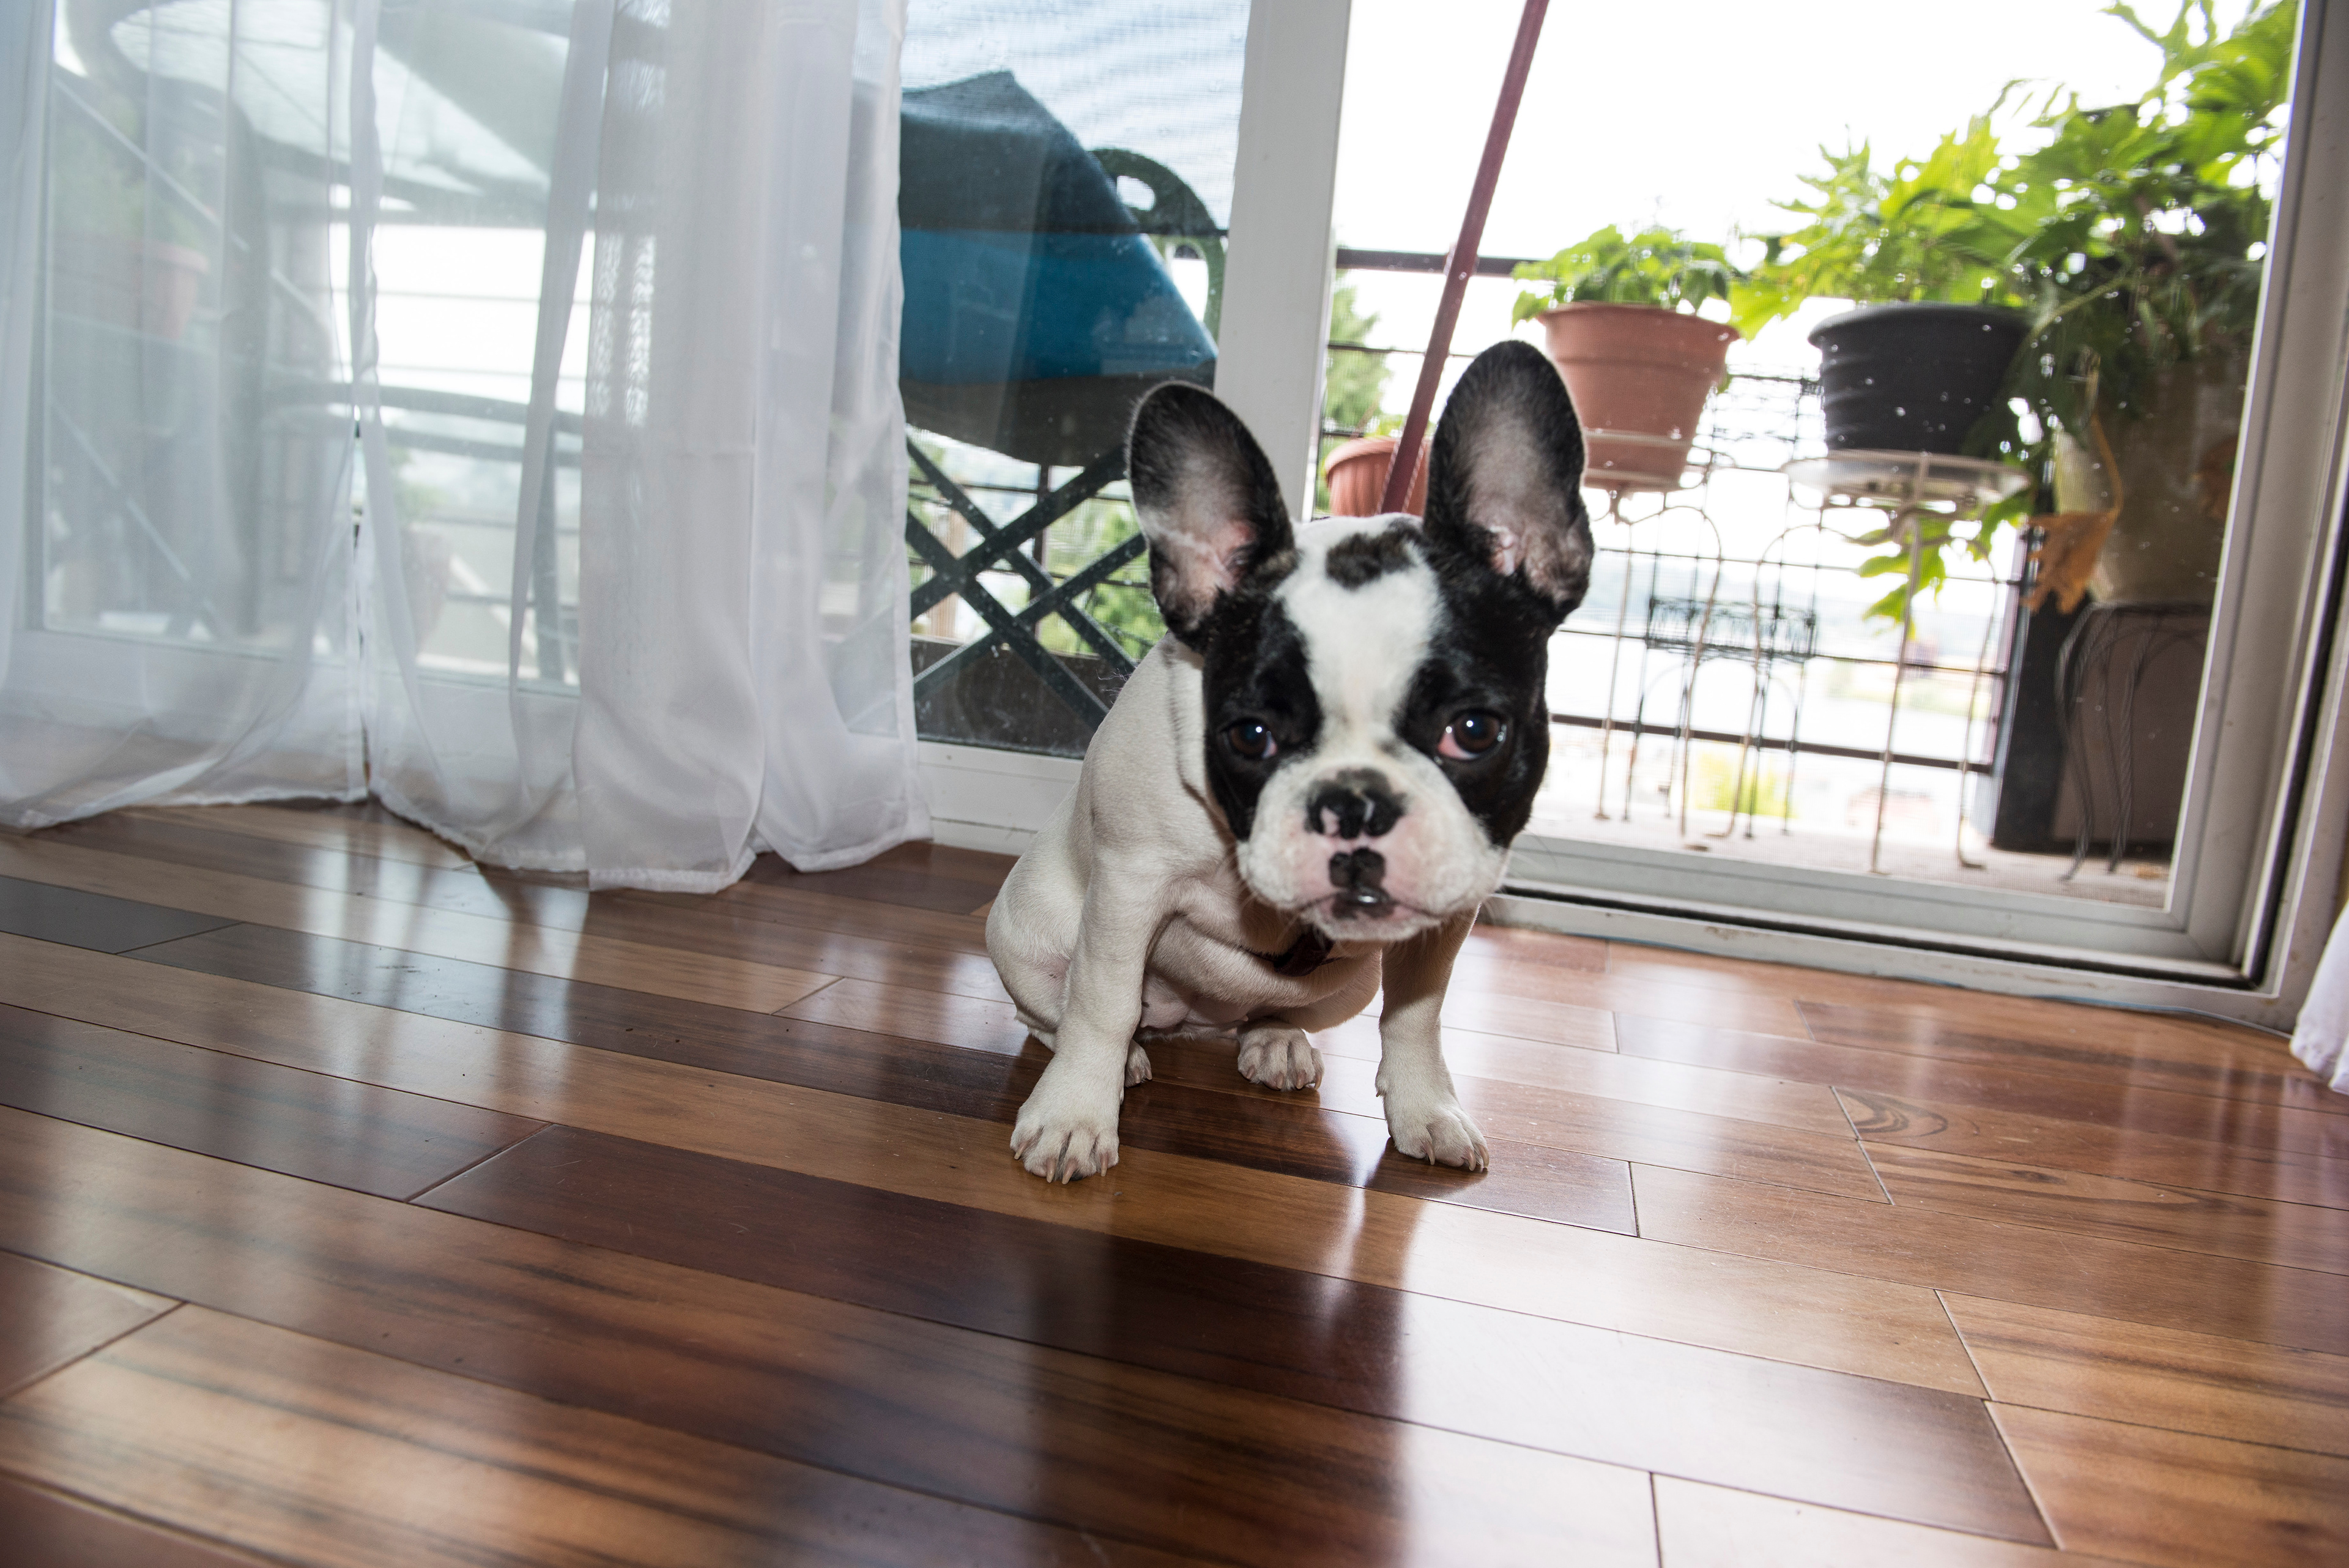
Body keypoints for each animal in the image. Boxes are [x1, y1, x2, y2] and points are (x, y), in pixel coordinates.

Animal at [985, 339, 1593, 1182]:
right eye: (1250, 736)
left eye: (1474, 730)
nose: (1356, 803)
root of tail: (1195, 1020)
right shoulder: (1130, 885)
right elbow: (1102, 1001)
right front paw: (1075, 1113)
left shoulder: (1444, 915)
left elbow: (1418, 1015)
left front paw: (1426, 1109)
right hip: (1025, 932)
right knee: (1058, 1009)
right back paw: (1123, 1056)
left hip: (1347, 983)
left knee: (1275, 1010)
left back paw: (1273, 1038)